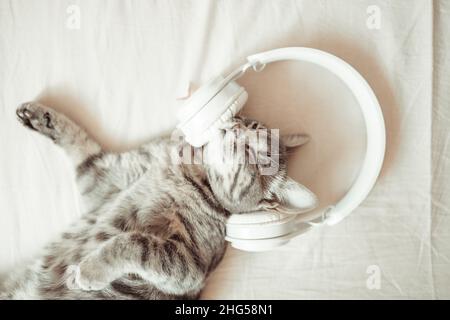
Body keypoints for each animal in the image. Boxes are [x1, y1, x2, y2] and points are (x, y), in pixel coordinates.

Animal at [0, 101, 316, 298]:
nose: (233, 127)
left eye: (253, 154)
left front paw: (90, 269)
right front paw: (40, 117)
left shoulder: (186, 264)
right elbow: (80, 142)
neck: (188, 167)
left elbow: (132, 243)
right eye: (251, 124)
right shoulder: (106, 177)